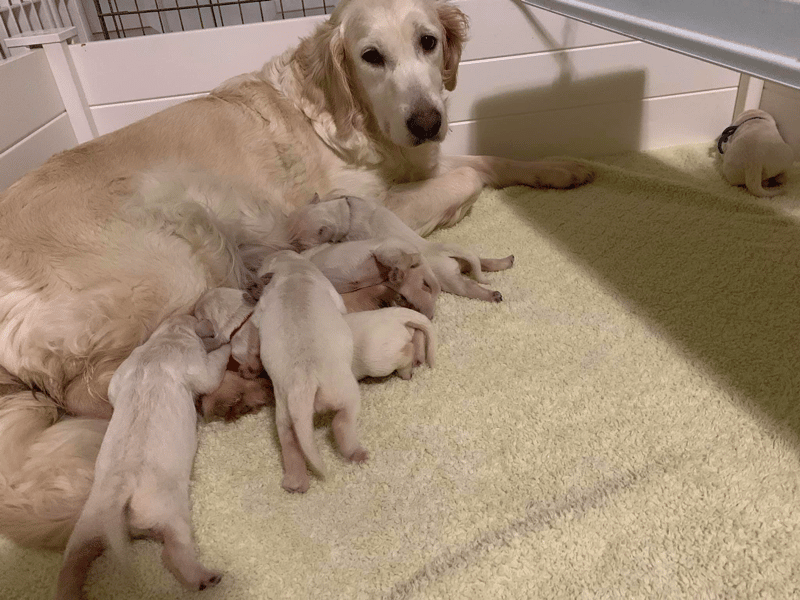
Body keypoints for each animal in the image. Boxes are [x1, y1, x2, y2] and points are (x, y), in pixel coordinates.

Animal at [54, 316, 230, 596]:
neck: (165, 338)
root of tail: (121, 496)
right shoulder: (196, 363)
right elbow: (212, 372)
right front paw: (227, 344)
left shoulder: (123, 372)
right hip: (171, 512)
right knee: (175, 553)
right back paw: (206, 578)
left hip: (87, 526)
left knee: (72, 562)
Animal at [245, 250, 368, 492]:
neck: (292, 270)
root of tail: (305, 379)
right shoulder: (330, 291)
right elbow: (341, 305)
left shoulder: (262, 306)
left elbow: (255, 321)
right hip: (345, 390)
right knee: (342, 422)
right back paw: (356, 452)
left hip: (284, 408)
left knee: (289, 441)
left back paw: (295, 482)